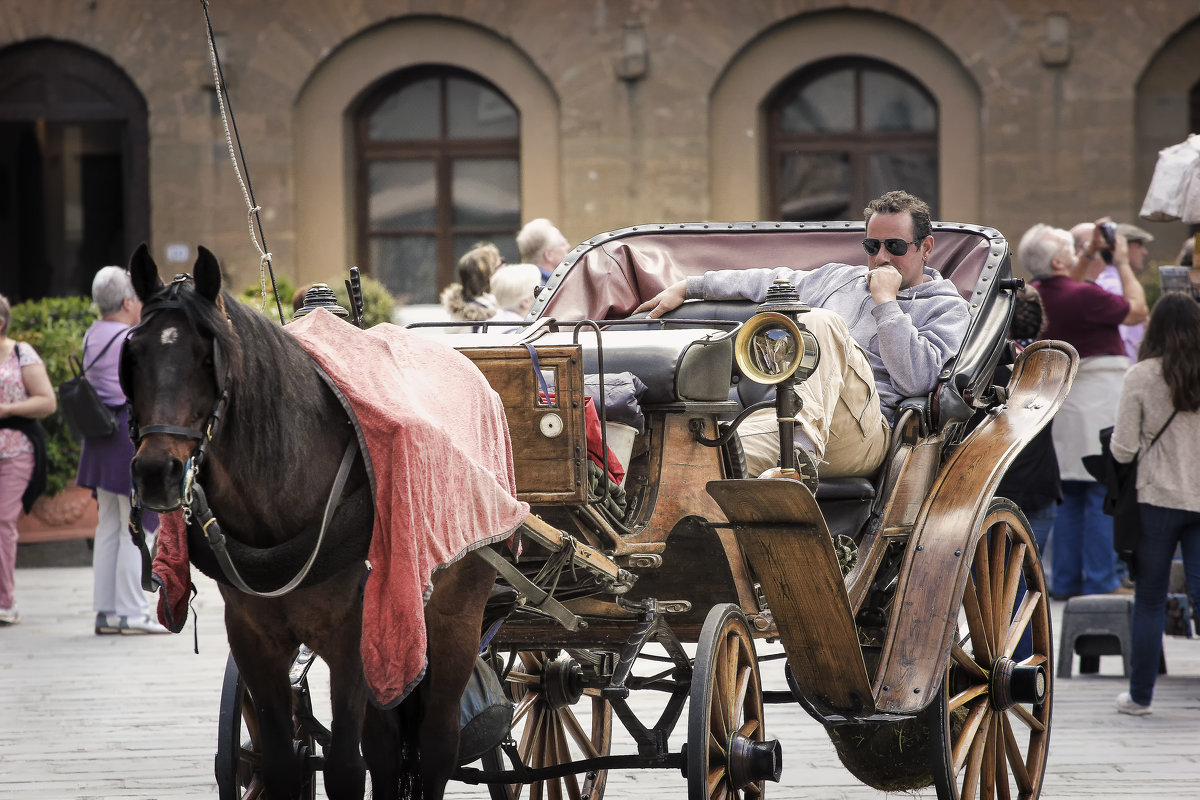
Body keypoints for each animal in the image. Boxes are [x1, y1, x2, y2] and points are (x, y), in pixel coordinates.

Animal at [121, 245, 496, 800]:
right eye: (134, 355)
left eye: (207, 357)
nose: (154, 472)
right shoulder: (253, 638)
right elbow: (279, 762)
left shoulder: (354, 638)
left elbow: (345, 768)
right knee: (386, 746)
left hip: (455, 618)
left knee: (437, 744)